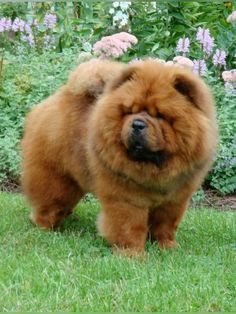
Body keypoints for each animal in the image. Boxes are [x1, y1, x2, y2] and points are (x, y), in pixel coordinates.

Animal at [20, 59, 218, 255]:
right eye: (129, 111)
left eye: (160, 115)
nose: (137, 124)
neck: (154, 166)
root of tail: (60, 95)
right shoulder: (127, 199)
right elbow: (130, 227)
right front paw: (132, 254)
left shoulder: (174, 200)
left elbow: (165, 225)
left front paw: (166, 247)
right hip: (56, 177)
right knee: (49, 200)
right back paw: (45, 225)